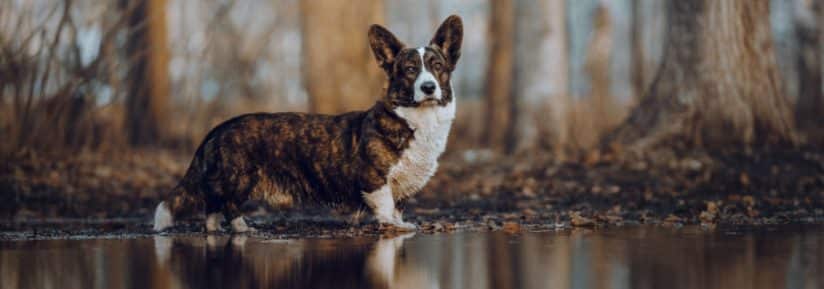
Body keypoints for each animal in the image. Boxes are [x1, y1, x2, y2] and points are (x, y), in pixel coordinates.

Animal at [153, 15, 464, 232]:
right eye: (410, 70)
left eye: (438, 66)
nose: (428, 87)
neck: (416, 119)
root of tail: (220, 127)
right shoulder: (375, 180)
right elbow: (386, 207)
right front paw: (393, 227)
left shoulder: (403, 186)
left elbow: (397, 208)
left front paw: (400, 223)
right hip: (239, 179)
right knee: (226, 205)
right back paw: (241, 228)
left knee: (212, 209)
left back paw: (216, 229)